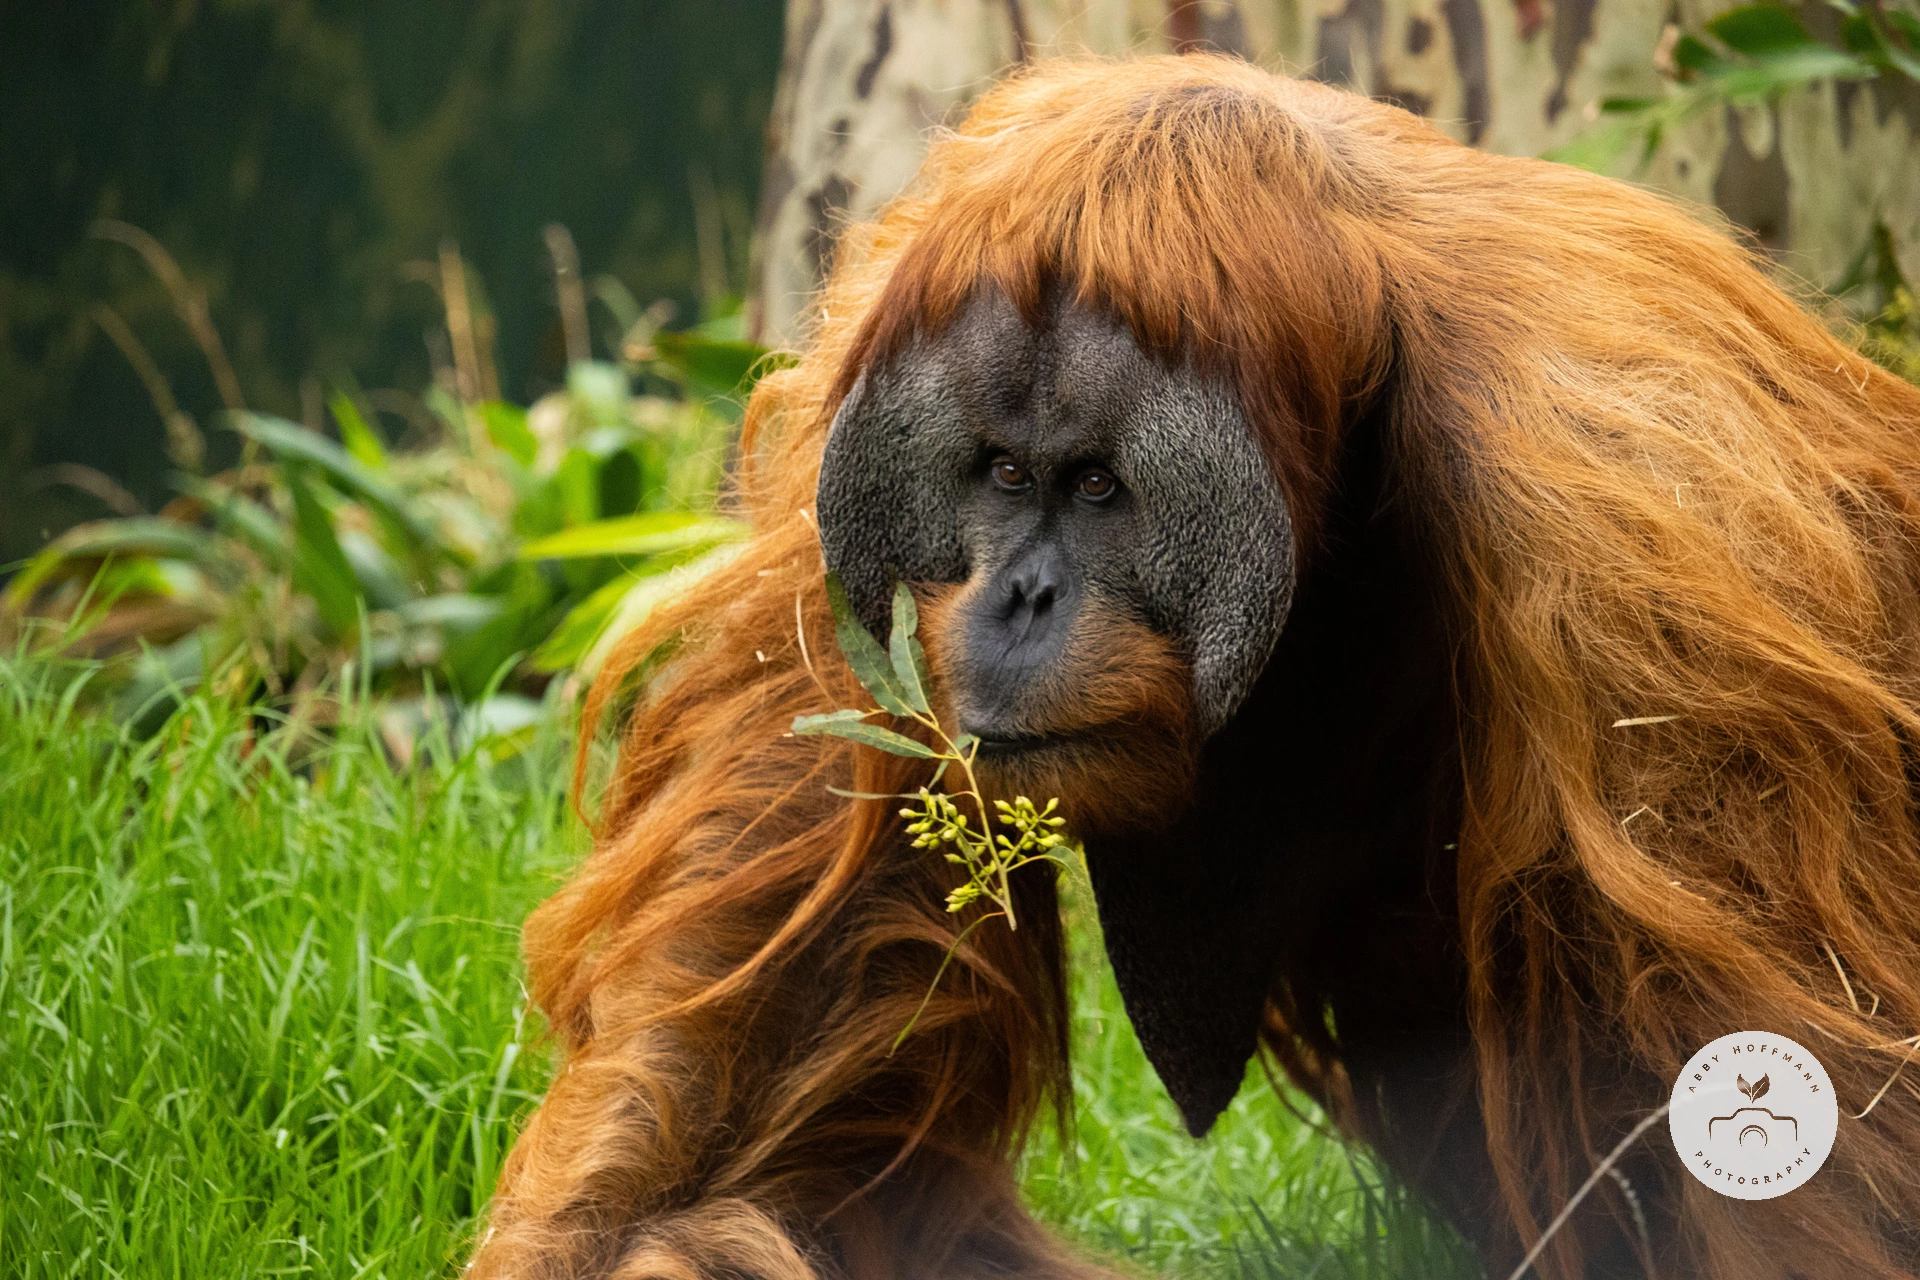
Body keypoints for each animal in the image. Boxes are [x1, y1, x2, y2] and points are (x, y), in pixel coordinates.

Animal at [467, 55, 1920, 1280]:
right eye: (1002, 474)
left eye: (1100, 488)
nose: (1019, 598)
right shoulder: (854, 424)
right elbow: (757, 1039)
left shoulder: (1652, 521)